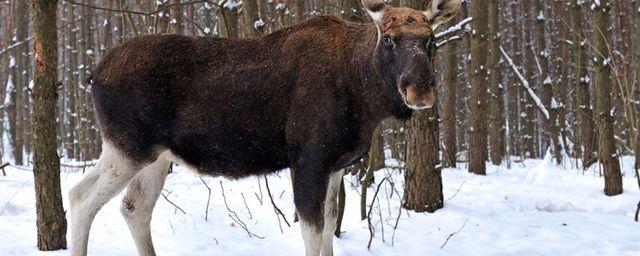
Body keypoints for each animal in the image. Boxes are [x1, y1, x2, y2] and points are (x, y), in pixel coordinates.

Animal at [69, 0, 460, 255]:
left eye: (430, 40)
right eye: (389, 38)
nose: (420, 89)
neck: (364, 95)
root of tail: (93, 74)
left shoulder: (336, 164)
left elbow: (329, 226)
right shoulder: (308, 159)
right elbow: (314, 233)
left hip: (155, 157)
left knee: (133, 207)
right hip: (129, 147)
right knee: (81, 198)